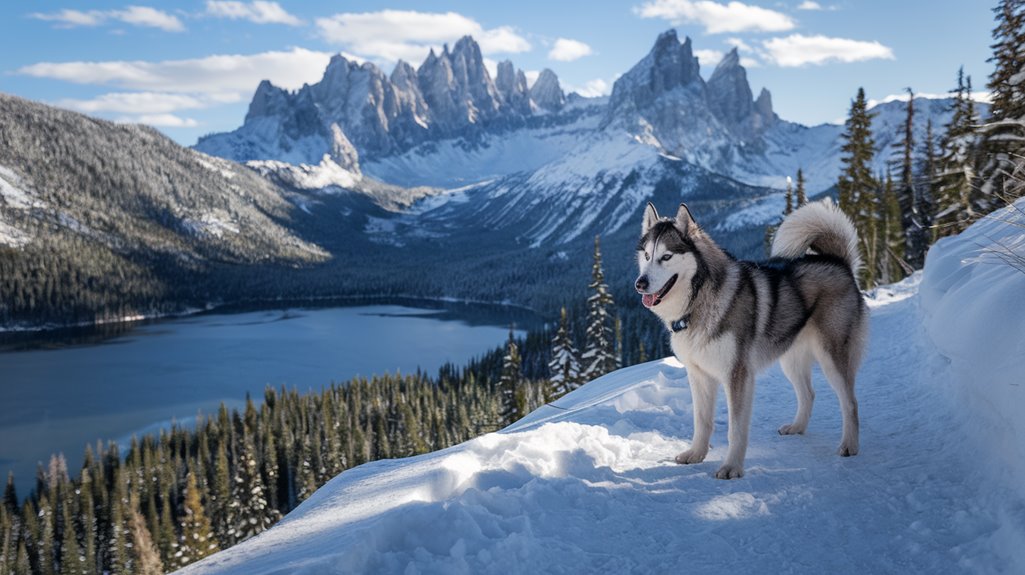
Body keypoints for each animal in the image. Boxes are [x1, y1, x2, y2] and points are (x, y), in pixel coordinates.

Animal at [635, 199, 869, 477]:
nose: (640, 283)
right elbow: (702, 421)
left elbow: (735, 429)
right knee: (809, 394)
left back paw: (850, 446)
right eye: (647, 256)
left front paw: (731, 468)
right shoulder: (699, 375)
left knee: (851, 403)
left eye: (666, 256)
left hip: (831, 357)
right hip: (790, 360)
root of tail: (838, 262)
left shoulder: (737, 375)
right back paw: (797, 427)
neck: (700, 302)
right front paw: (696, 454)